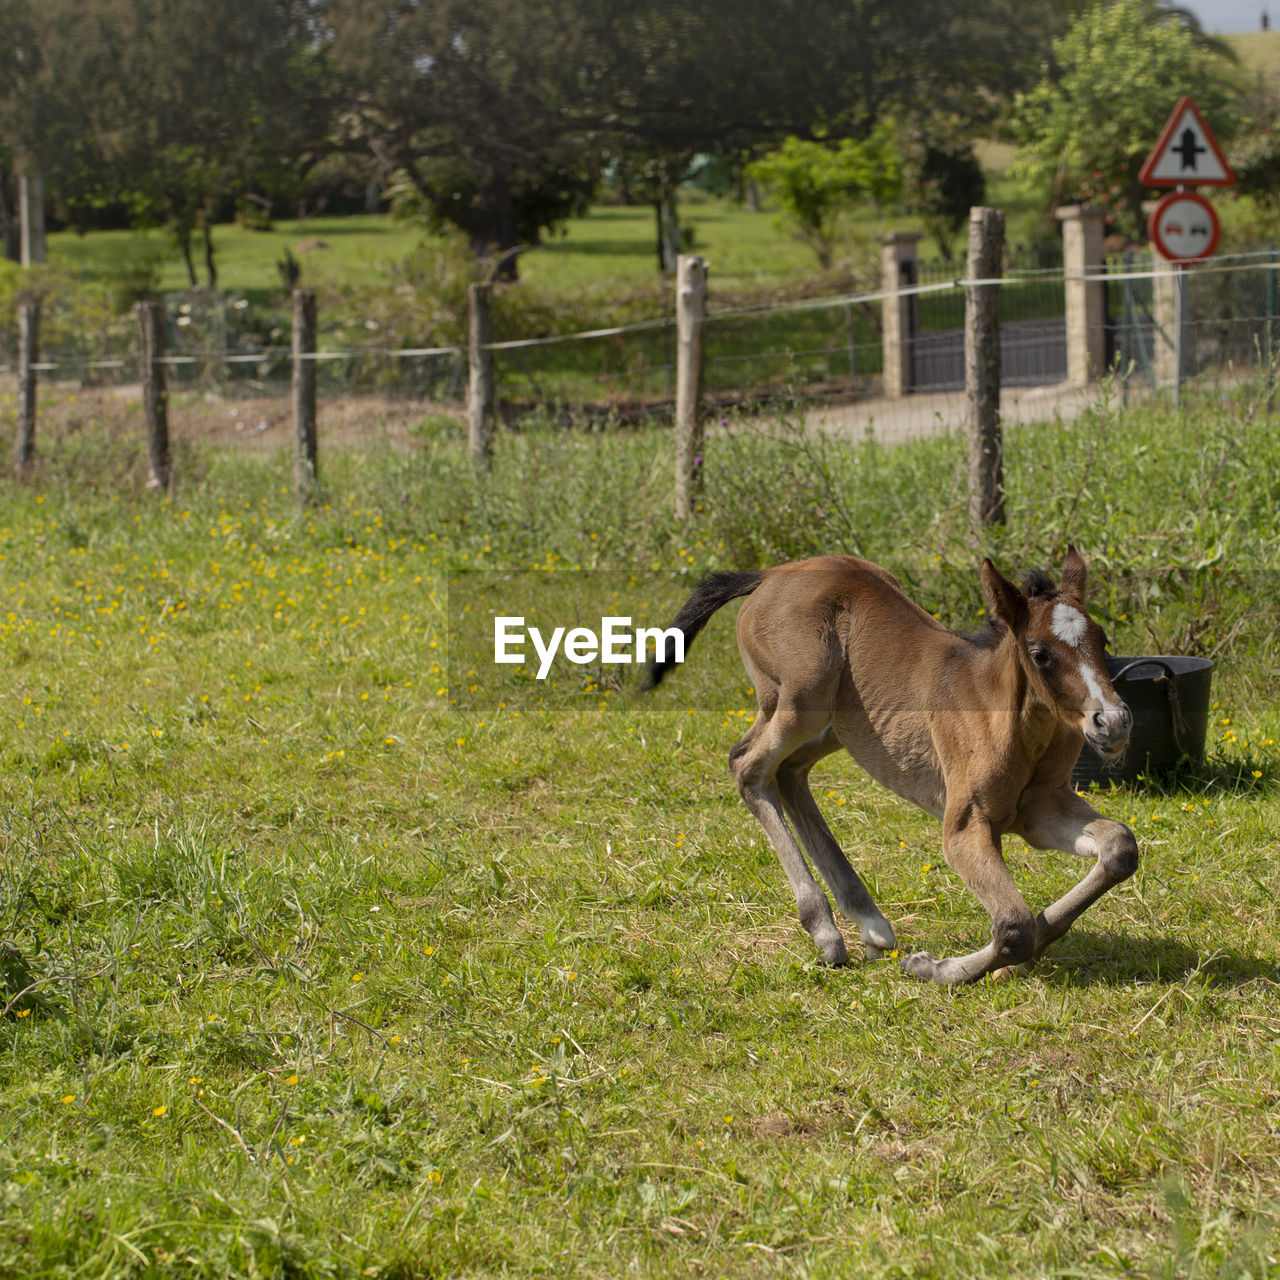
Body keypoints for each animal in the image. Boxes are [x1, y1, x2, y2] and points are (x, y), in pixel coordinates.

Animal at [650, 552, 1141, 988]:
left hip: (843, 726)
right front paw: (934, 968)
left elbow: (1120, 848)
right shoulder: (964, 826)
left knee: (788, 771)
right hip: (802, 701)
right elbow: (1014, 925)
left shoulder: (1040, 811)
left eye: (1102, 641)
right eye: (1039, 654)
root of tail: (770, 574)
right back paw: (827, 932)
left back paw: (870, 922)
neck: (1006, 718)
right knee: (747, 766)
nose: (1113, 721)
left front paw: (1017, 956)